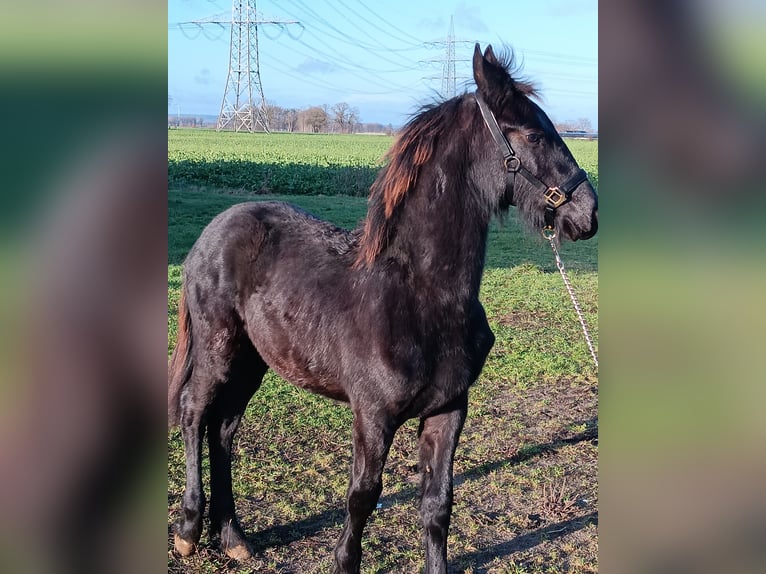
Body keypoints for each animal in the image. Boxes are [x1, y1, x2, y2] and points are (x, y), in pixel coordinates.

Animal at [168, 42, 600, 572]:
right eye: (536, 133)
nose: (589, 213)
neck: (419, 296)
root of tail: (212, 231)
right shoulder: (373, 415)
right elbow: (362, 497)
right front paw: (342, 559)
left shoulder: (449, 409)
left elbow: (438, 504)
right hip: (219, 348)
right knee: (193, 413)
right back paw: (189, 531)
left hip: (254, 359)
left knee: (224, 429)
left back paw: (232, 536)